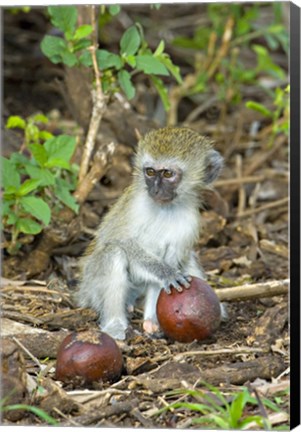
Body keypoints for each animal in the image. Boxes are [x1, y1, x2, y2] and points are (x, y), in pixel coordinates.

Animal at [77, 126, 223, 340]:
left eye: (168, 174)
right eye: (151, 172)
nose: (155, 189)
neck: (165, 208)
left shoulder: (189, 222)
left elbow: (170, 265)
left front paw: (152, 321)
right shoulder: (134, 205)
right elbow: (121, 241)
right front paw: (165, 272)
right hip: (90, 287)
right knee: (113, 253)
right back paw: (115, 324)